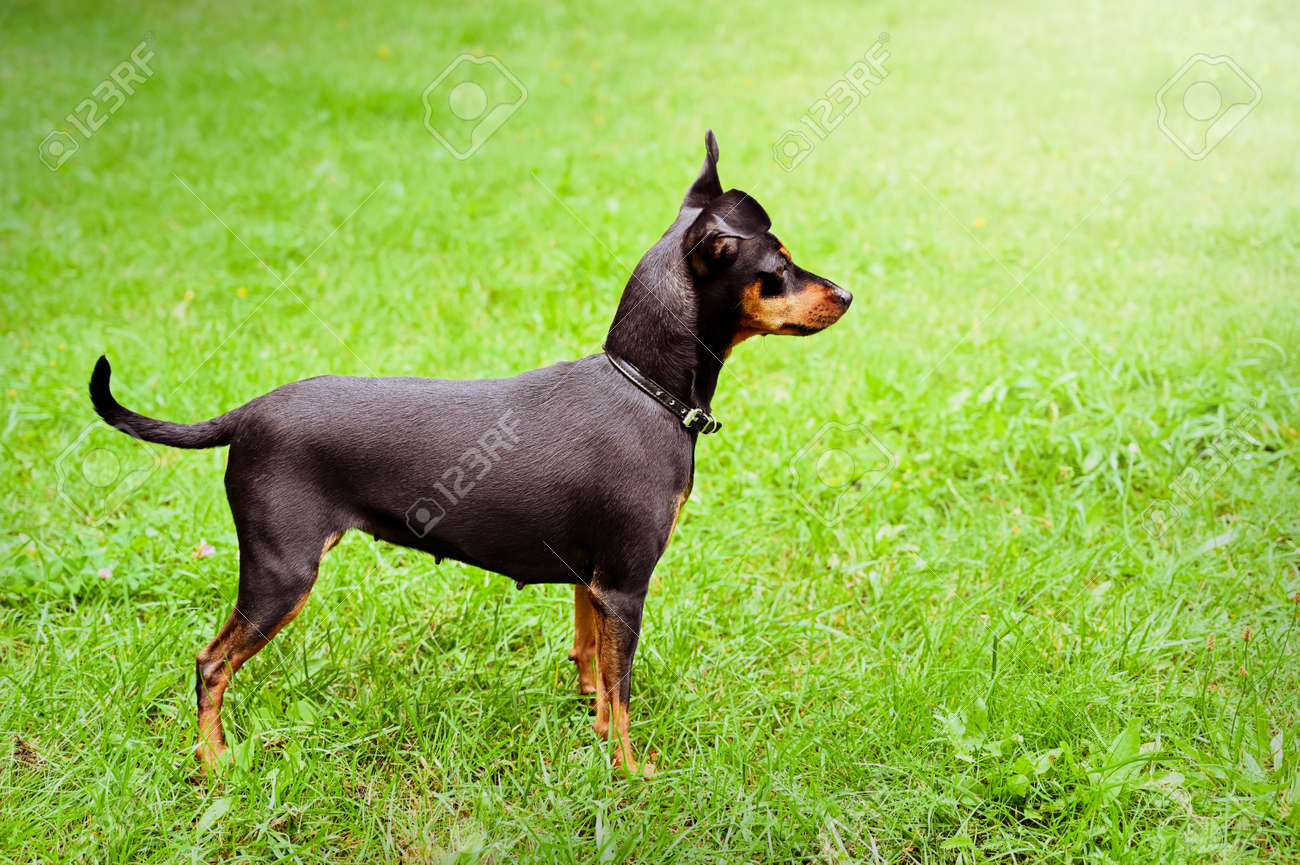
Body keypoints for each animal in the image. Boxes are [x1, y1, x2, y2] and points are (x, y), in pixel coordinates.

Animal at [96, 130, 857, 775]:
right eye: (780, 266)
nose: (849, 293)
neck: (643, 388)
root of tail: (250, 412)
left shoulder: (594, 582)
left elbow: (592, 666)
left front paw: (591, 727)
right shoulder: (626, 584)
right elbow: (623, 693)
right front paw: (629, 773)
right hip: (282, 574)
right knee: (210, 662)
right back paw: (214, 761)